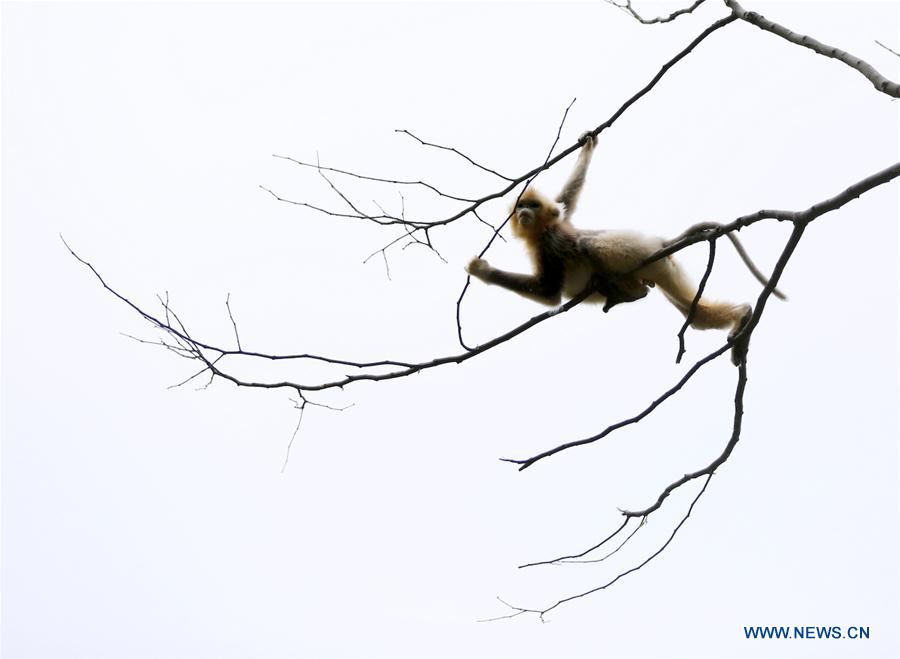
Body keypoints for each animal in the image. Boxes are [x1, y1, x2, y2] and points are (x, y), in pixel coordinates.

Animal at [466, 133, 785, 364]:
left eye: (531, 206)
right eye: (521, 205)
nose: (522, 213)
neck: (542, 230)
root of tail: (659, 243)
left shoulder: (550, 243)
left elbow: (550, 292)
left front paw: (480, 269)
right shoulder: (560, 217)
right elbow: (567, 200)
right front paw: (588, 145)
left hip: (633, 249)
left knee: (589, 243)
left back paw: (629, 291)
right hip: (665, 267)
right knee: (697, 317)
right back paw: (742, 317)